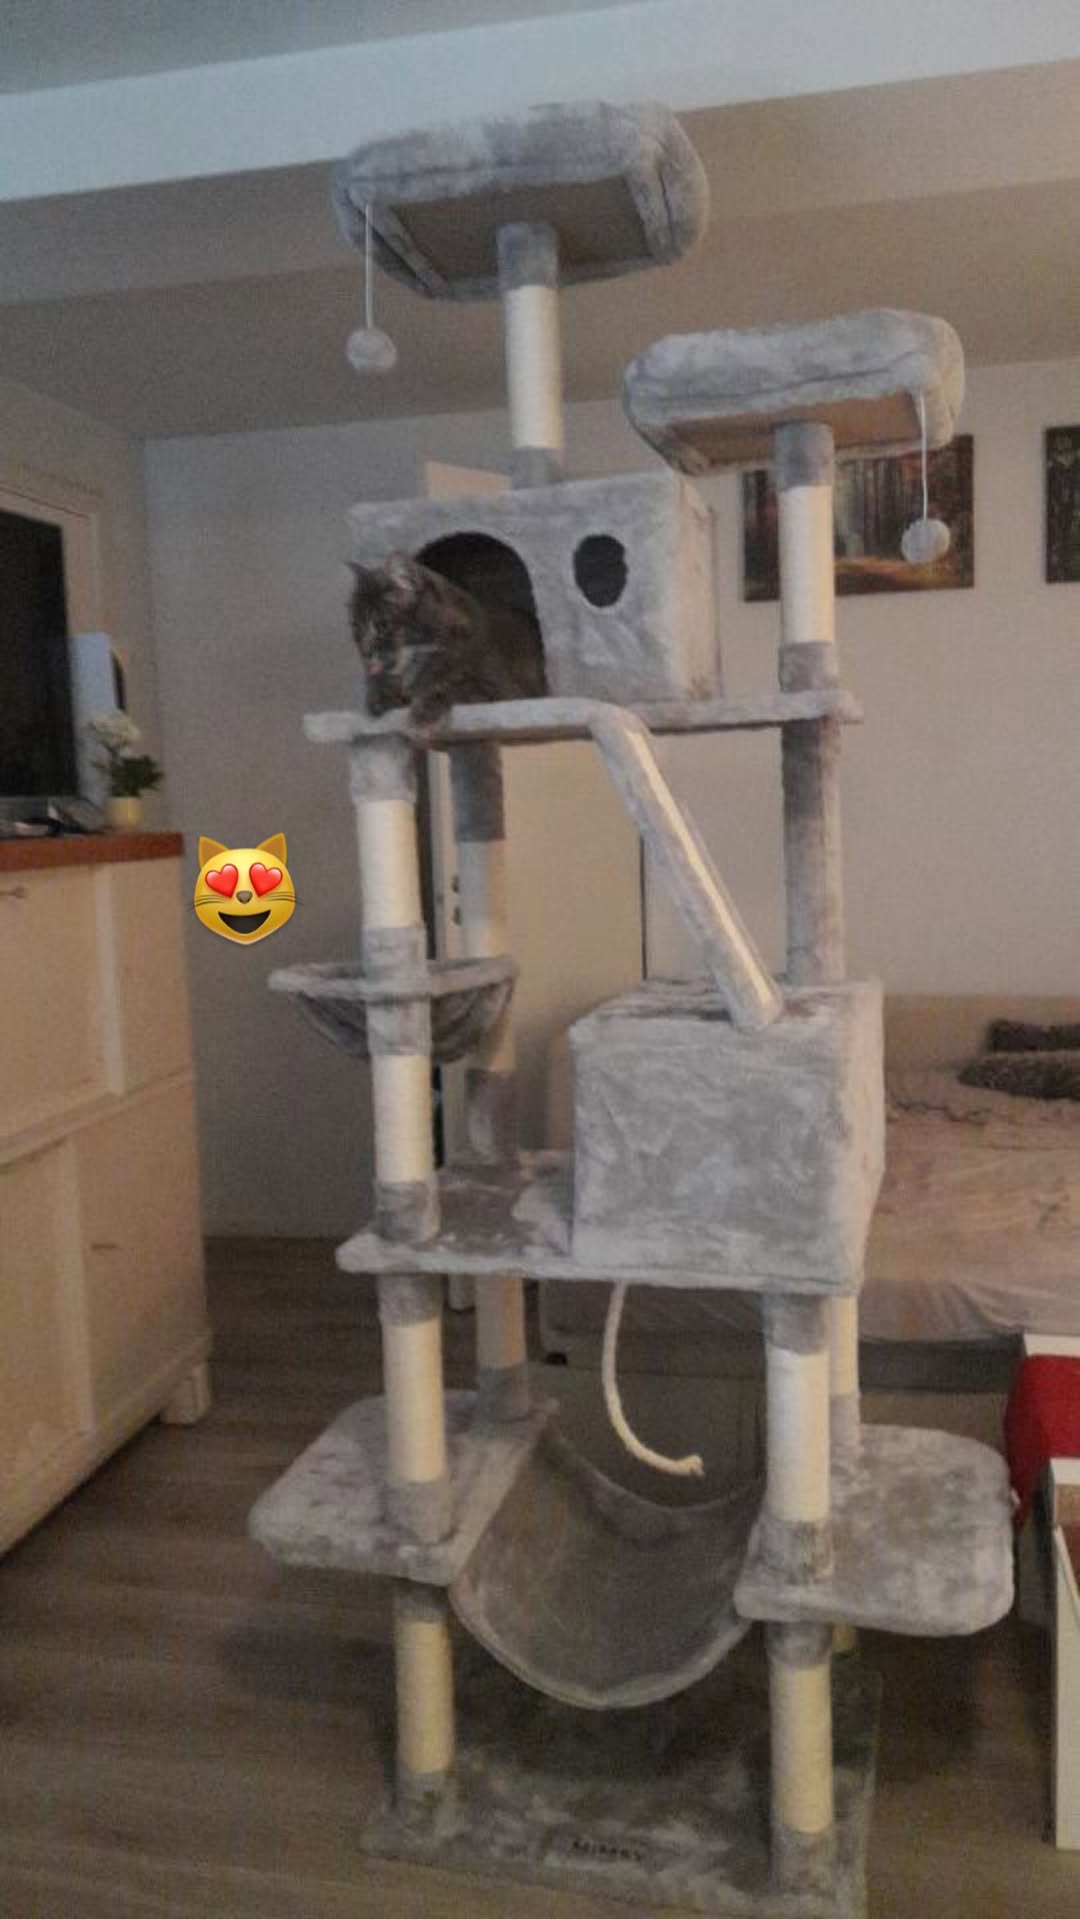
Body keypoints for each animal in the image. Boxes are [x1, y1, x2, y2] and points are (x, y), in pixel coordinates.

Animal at [349, 550, 547, 728]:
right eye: (357, 630)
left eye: (382, 625)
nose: (365, 651)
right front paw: (381, 696)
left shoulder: (501, 692)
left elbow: (458, 687)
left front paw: (425, 711)